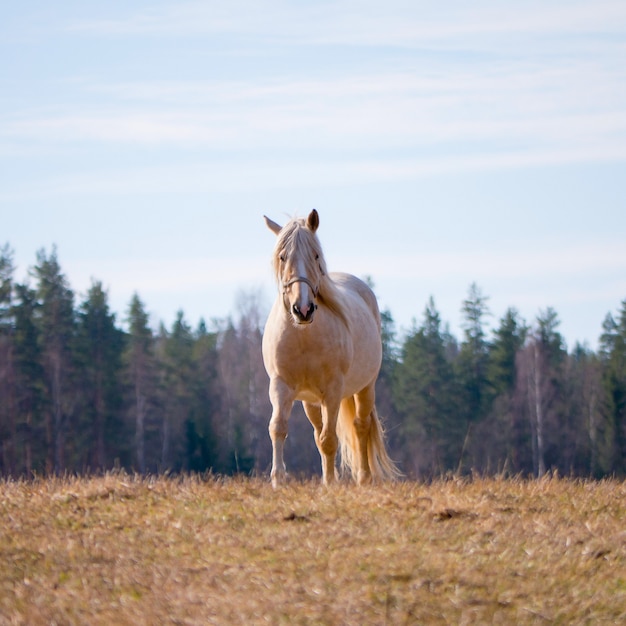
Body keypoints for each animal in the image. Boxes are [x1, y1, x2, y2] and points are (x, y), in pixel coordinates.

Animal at [260, 207, 398, 486]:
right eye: (282, 257)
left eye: (315, 255)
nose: (302, 309)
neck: (304, 337)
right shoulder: (280, 386)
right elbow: (278, 427)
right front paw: (278, 480)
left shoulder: (333, 391)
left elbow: (329, 439)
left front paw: (331, 484)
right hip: (310, 402)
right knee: (320, 432)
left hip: (365, 388)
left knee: (360, 425)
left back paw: (363, 478)